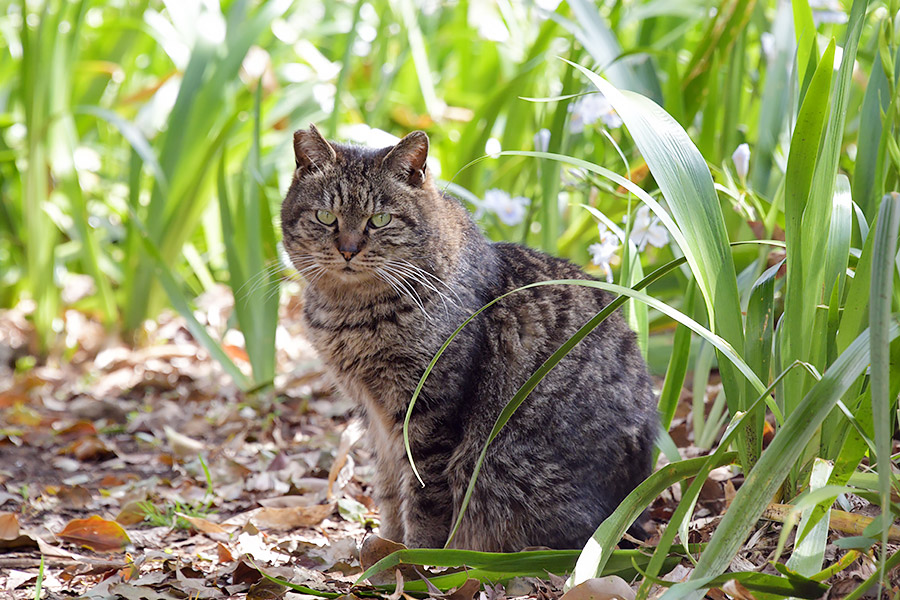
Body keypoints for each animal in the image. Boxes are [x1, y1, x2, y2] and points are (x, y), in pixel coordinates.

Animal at [278, 126, 656, 552]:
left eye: (380, 219)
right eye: (326, 217)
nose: (348, 249)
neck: (352, 315)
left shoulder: (428, 411)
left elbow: (423, 494)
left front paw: (414, 556)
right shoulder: (374, 417)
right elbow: (389, 489)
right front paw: (386, 548)